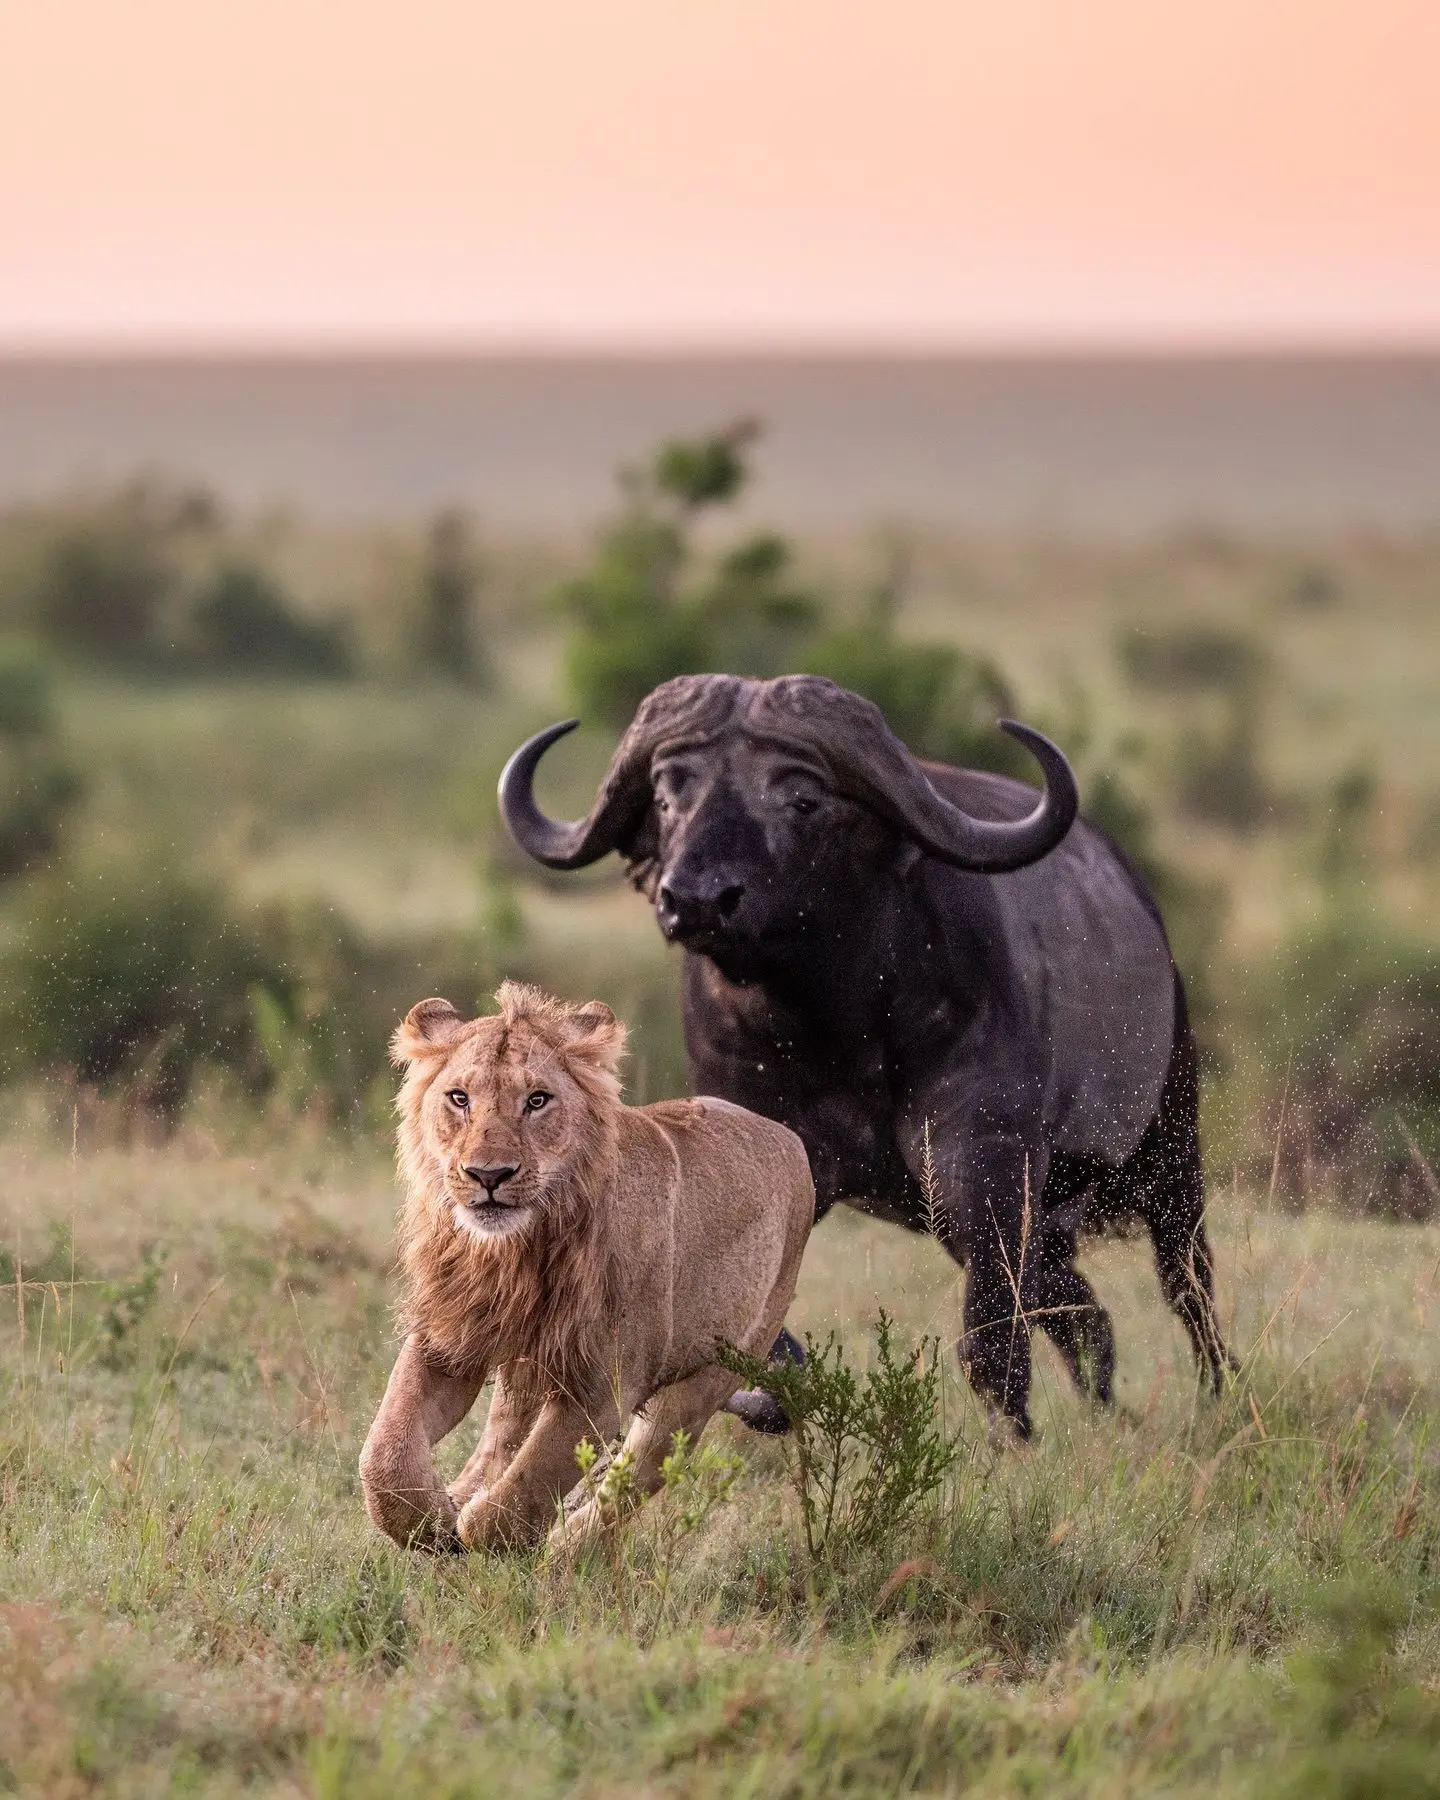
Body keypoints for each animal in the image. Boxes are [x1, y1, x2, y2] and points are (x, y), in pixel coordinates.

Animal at [358, 980, 815, 1551]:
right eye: (459, 1098)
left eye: (537, 1100)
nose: (488, 1175)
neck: (515, 1254)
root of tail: (789, 1137)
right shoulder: (450, 1338)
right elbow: (386, 1453)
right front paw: (434, 1524)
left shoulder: (605, 1385)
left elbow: (530, 1485)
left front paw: (479, 1532)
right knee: (502, 1434)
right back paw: (469, 1494)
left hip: (706, 1379)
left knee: (633, 1478)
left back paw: (564, 1553)